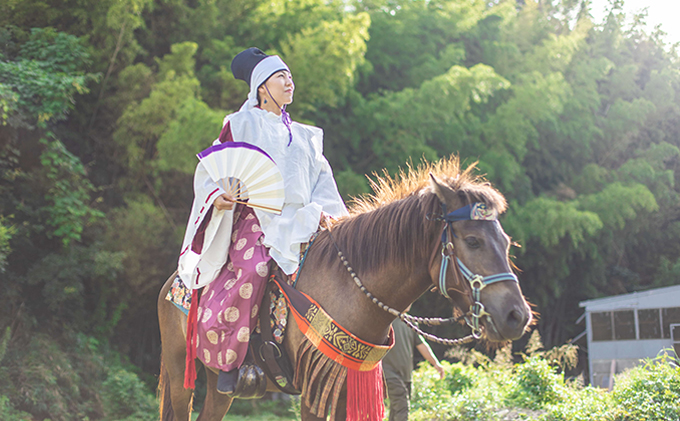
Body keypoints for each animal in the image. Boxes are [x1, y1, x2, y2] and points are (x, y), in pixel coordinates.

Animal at [158, 156, 532, 418]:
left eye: (506, 242)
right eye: (473, 241)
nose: (517, 316)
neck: (350, 291)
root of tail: (172, 282)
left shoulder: (345, 385)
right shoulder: (313, 385)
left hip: (216, 387)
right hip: (179, 367)